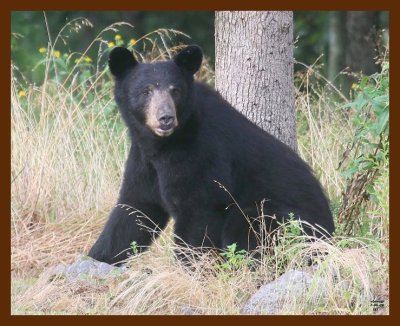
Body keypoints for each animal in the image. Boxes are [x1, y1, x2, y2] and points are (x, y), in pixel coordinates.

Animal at [88, 45, 334, 264]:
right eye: (146, 91)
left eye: (175, 90)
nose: (165, 118)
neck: (162, 144)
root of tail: (330, 233)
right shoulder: (143, 160)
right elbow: (135, 209)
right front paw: (97, 257)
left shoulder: (201, 154)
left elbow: (197, 212)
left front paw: (190, 268)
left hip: (284, 219)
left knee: (246, 226)